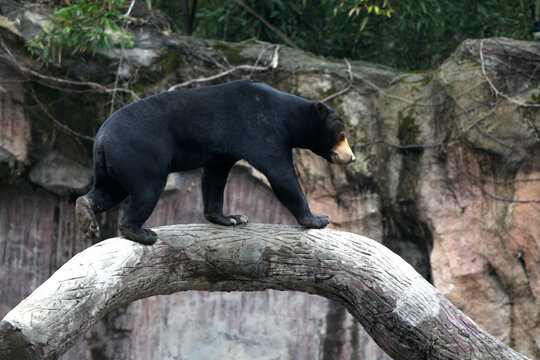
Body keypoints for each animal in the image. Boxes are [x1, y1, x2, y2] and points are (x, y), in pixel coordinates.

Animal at [75, 81, 354, 245]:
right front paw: (317, 218)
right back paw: (140, 232)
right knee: (146, 190)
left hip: (113, 164)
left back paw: (86, 215)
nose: (350, 157)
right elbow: (281, 173)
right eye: (341, 135)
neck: (288, 116)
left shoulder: (221, 151)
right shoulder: (261, 130)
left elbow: (215, 177)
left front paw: (230, 217)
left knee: (108, 190)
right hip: (141, 154)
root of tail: (102, 140)